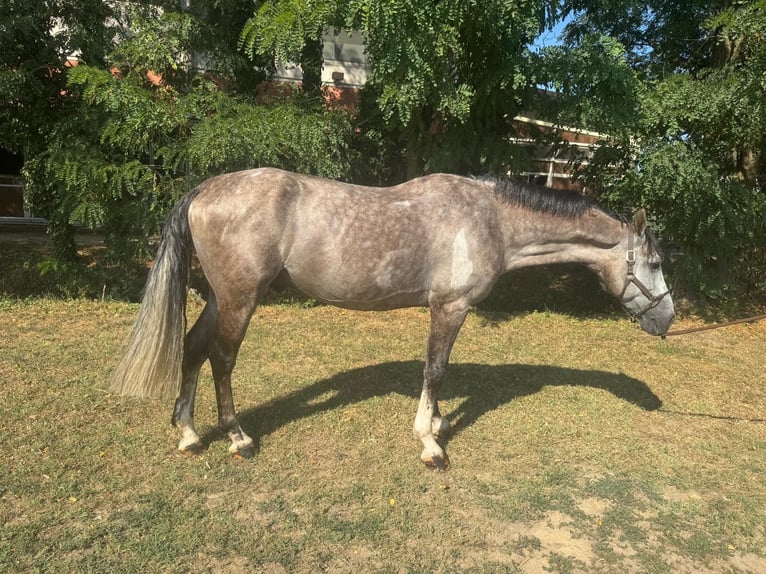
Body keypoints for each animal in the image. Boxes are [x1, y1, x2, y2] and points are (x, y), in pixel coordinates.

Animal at [110, 168, 675, 470]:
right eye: (652, 262)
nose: (666, 320)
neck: (489, 218)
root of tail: (205, 190)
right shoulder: (450, 306)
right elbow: (435, 370)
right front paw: (430, 443)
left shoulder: (446, 309)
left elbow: (438, 373)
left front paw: (439, 422)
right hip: (240, 298)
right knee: (222, 359)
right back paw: (238, 438)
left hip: (218, 296)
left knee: (192, 348)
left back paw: (188, 433)